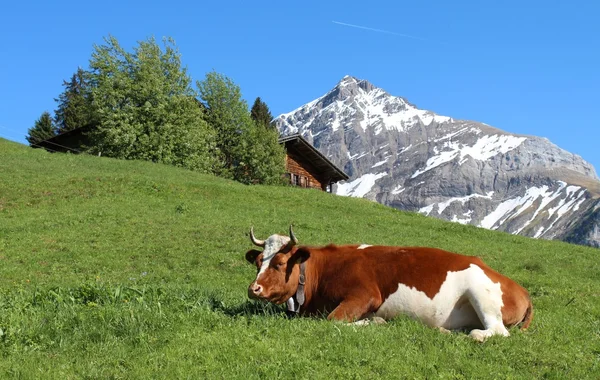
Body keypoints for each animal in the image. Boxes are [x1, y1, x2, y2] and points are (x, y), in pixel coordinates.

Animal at [245, 226, 536, 342]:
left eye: (279, 262)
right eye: (258, 261)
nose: (254, 288)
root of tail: (522, 289)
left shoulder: (365, 294)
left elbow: (333, 320)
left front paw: (374, 322)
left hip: (481, 293)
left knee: (494, 331)